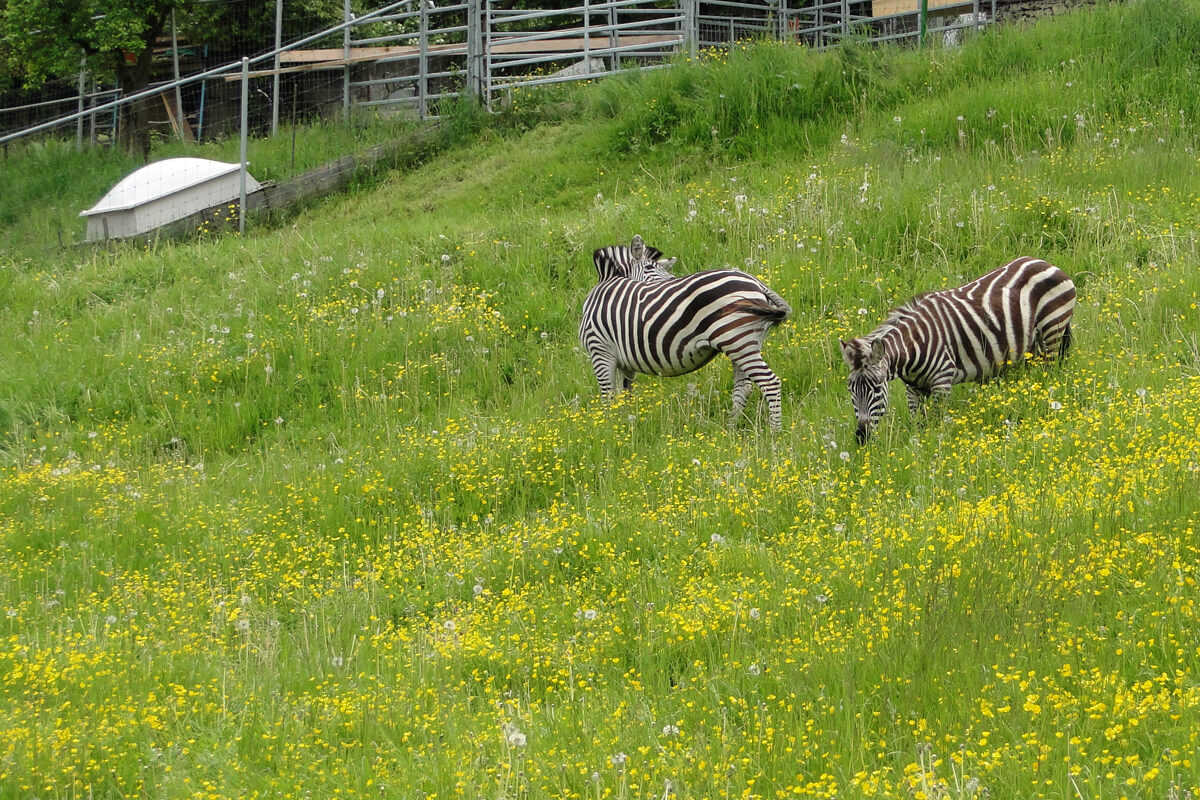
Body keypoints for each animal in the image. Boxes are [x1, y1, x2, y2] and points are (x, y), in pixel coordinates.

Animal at [578, 232, 792, 431]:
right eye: (649, 268)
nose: (672, 281)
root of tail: (757, 283)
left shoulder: (600, 350)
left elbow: (608, 397)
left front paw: (609, 429)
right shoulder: (624, 363)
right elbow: (625, 395)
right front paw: (624, 426)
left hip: (737, 340)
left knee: (769, 382)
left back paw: (775, 433)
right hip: (743, 343)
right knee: (744, 387)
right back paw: (730, 429)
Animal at [840, 256, 1075, 443]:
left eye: (877, 388)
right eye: (851, 389)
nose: (861, 437)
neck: (913, 350)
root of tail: (1045, 262)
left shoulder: (942, 382)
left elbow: (937, 423)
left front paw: (935, 450)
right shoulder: (912, 390)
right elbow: (918, 424)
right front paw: (917, 449)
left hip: (1052, 330)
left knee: (1049, 373)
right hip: (1032, 347)